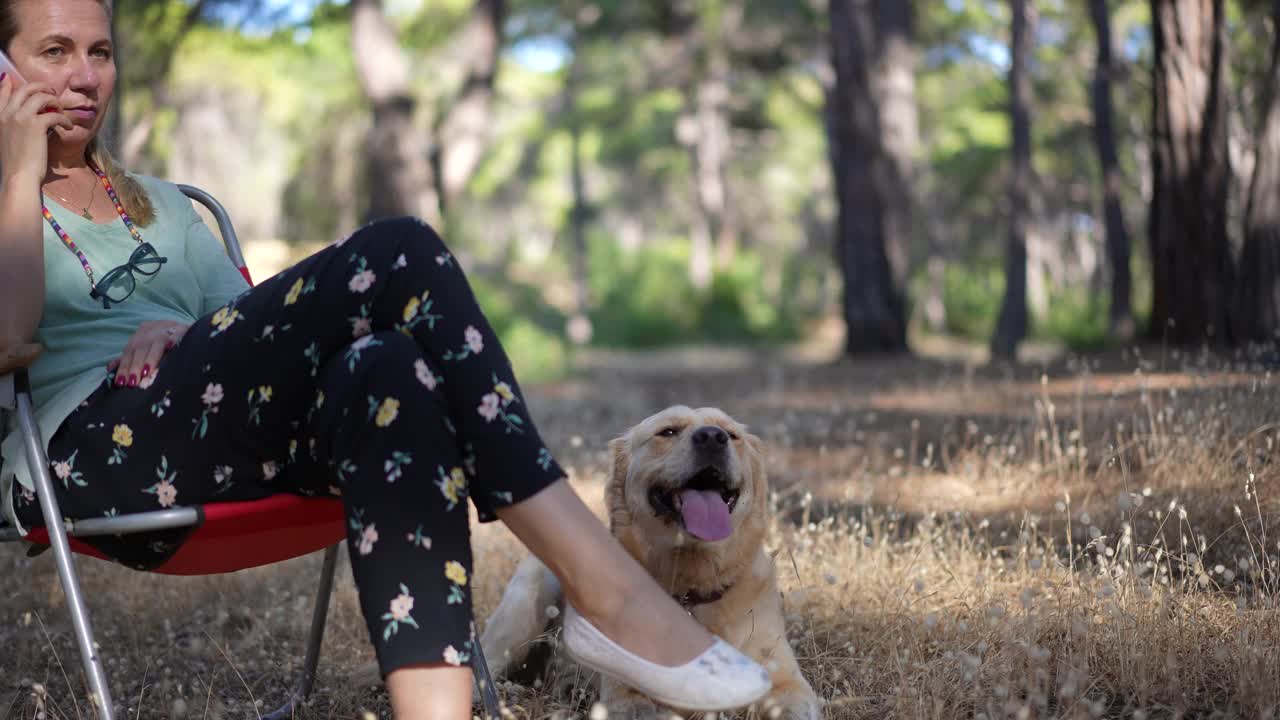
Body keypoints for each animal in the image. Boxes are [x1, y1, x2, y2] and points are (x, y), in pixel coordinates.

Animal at [476, 407, 814, 717]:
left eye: (731, 435)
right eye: (668, 432)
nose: (712, 438)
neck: (691, 585)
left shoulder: (786, 680)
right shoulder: (625, 695)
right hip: (523, 610)